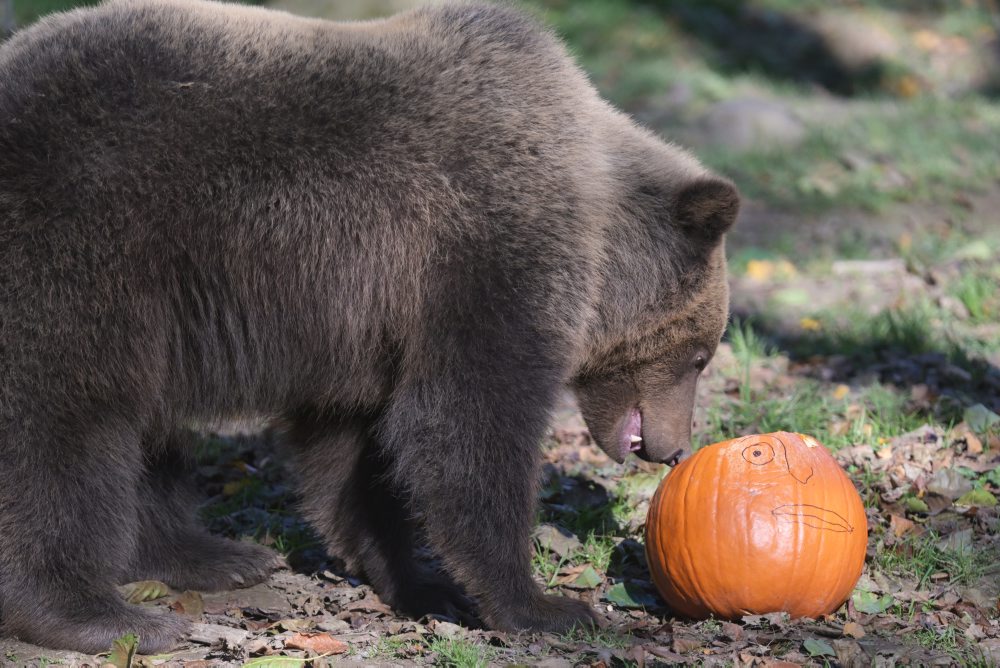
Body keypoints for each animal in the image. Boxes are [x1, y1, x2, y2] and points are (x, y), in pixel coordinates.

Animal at [0, 0, 736, 652]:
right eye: (700, 355)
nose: (673, 447)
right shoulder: (484, 246)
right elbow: (468, 420)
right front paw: (542, 606)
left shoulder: (365, 324)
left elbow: (356, 453)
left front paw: (418, 581)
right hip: (83, 244)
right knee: (66, 429)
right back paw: (99, 615)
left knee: (143, 438)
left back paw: (217, 555)